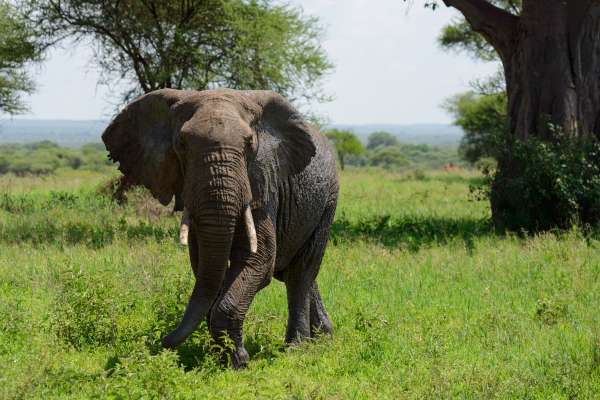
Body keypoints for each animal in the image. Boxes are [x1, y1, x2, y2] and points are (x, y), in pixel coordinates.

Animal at [101, 88, 340, 368]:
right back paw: (323, 338)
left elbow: (258, 259)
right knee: (295, 271)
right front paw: (223, 357)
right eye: (181, 144)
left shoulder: (262, 181)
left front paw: (237, 362)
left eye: (249, 145)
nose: (163, 341)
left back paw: (297, 349)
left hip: (328, 201)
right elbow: (205, 264)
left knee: (301, 271)